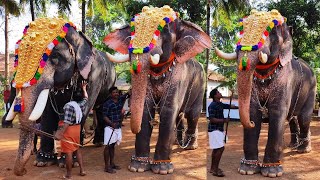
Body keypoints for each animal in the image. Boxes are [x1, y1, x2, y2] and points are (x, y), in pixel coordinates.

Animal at [5, 17, 115, 175]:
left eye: (55, 57)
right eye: (17, 58)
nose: (24, 171)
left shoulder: (94, 75)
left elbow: (82, 109)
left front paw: (67, 161)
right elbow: (47, 112)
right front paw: (42, 161)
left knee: (99, 108)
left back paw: (98, 143)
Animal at [104, 5, 211, 174]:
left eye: (165, 28)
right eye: (133, 28)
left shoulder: (178, 76)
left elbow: (168, 109)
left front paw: (162, 169)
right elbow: (145, 108)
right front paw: (137, 166)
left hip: (200, 84)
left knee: (192, 114)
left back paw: (190, 146)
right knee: (180, 115)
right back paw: (177, 142)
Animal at [214, 9, 316, 177]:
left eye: (272, 32)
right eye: (241, 28)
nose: (251, 123)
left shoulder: (285, 80)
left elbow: (278, 113)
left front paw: (271, 172)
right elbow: (253, 110)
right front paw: (247, 169)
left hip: (312, 88)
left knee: (304, 118)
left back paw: (303, 150)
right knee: (293, 118)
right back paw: (292, 146)